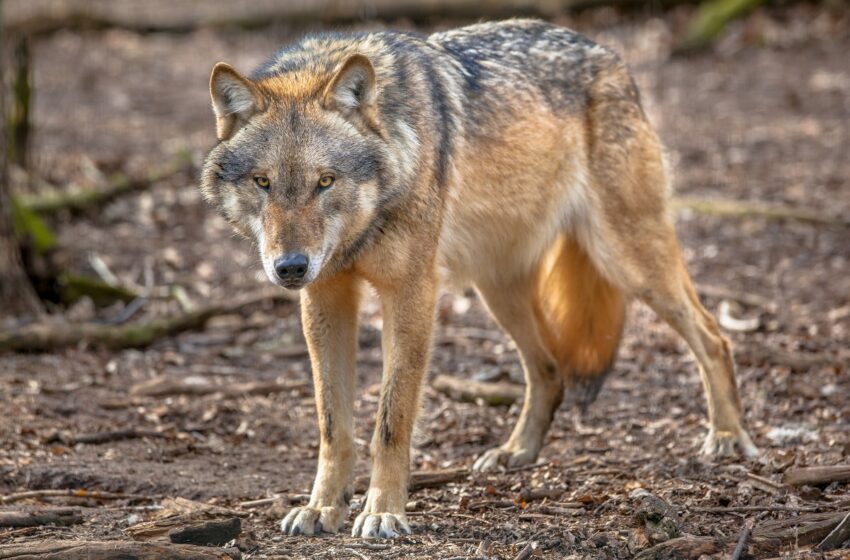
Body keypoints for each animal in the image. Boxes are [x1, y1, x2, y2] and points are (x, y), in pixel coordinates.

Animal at [199, 19, 756, 540]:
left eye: (325, 182)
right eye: (263, 182)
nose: (290, 267)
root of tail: (609, 56)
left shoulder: (412, 295)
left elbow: (390, 422)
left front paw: (383, 513)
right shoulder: (325, 300)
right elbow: (333, 426)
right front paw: (322, 508)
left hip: (629, 262)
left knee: (714, 336)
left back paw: (728, 437)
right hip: (499, 292)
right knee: (549, 371)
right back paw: (517, 452)